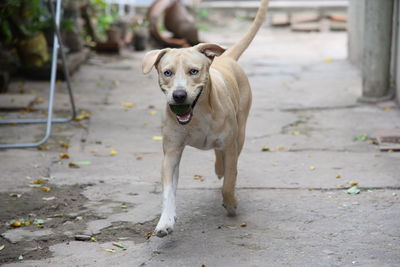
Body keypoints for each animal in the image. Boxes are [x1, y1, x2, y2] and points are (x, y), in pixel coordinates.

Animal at [142, 0, 270, 239]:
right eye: (167, 73)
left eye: (194, 71)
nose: (179, 95)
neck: (198, 115)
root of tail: (226, 58)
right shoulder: (171, 152)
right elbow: (168, 191)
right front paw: (165, 221)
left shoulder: (230, 144)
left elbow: (229, 181)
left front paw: (231, 203)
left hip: (240, 131)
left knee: (229, 160)